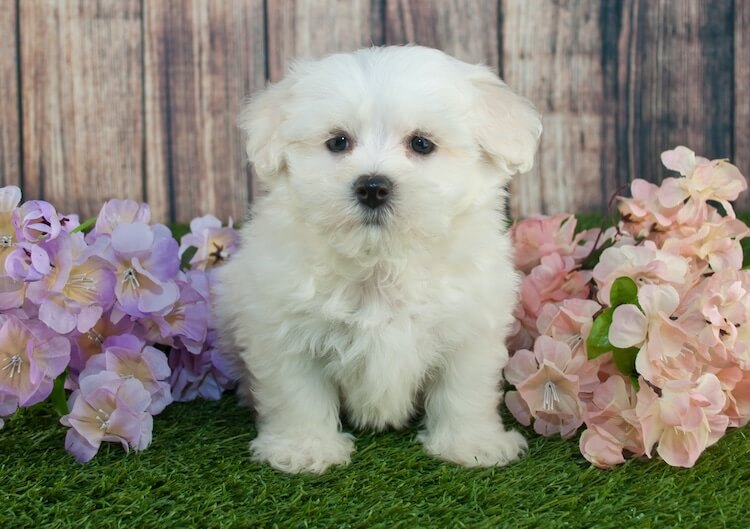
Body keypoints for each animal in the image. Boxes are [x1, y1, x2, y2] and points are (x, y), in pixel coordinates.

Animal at [214, 46, 544, 474]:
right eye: (338, 142)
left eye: (422, 144)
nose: (372, 186)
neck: (382, 259)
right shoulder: (285, 328)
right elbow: (298, 394)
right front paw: (305, 448)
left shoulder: (471, 327)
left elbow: (464, 389)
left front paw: (473, 444)